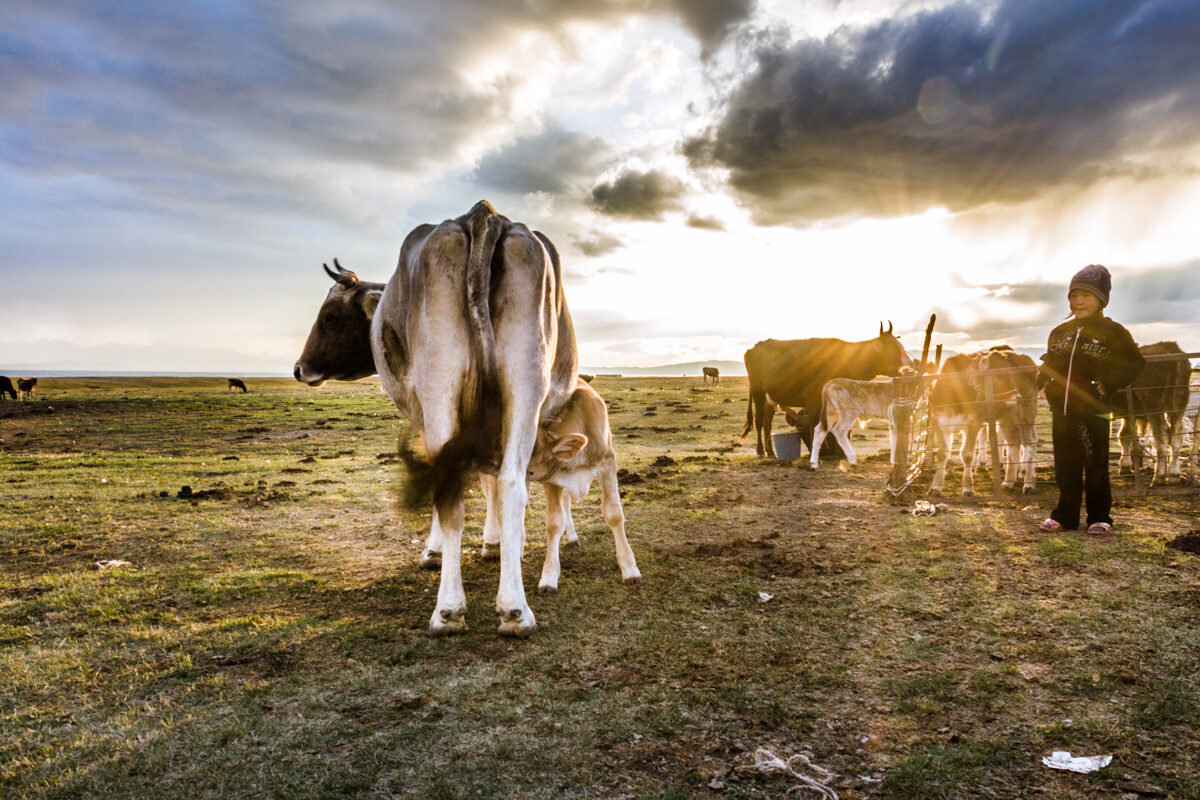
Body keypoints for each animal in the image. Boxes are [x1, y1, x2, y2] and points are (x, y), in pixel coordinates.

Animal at [298, 201, 580, 638]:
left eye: (329, 317)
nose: (299, 368)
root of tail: (483, 215)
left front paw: (437, 550)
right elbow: (492, 483)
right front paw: (496, 544)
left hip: (439, 389)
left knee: (450, 486)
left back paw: (448, 609)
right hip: (525, 384)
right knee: (511, 484)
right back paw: (515, 608)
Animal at [523, 381, 638, 594]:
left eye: (531, 471)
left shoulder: (608, 464)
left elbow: (614, 514)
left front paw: (629, 568)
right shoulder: (552, 479)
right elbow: (554, 523)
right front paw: (549, 576)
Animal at [734, 323, 912, 460]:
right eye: (892, 349)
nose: (910, 366)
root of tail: (755, 348)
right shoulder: (814, 398)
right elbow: (815, 423)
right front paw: (820, 452)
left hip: (770, 398)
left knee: (767, 421)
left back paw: (771, 452)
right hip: (758, 393)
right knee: (759, 420)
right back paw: (760, 451)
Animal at [1113, 340, 1190, 484]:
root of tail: (1170, 348)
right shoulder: (1128, 413)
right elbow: (1125, 435)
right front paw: (1125, 467)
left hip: (1154, 405)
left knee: (1162, 438)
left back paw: (1158, 477)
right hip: (1178, 404)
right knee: (1176, 437)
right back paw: (1174, 474)